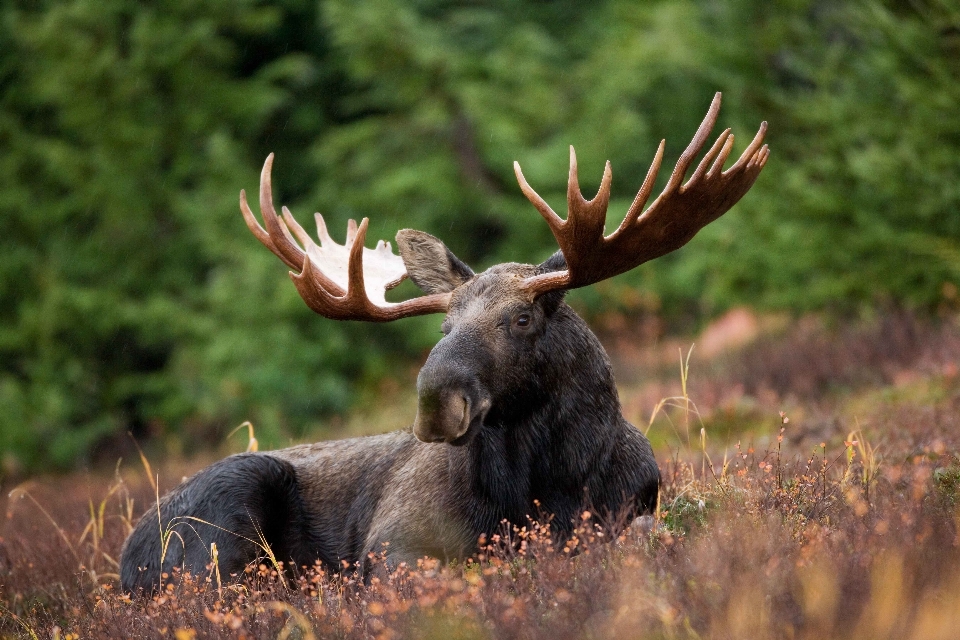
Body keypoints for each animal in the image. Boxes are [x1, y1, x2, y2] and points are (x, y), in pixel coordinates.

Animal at [120, 92, 768, 592]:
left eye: (522, 319)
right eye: (444, 326)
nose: (436, 402)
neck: (550, 484)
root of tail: (126, 559)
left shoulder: (634, 509)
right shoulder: (393, 544)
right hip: (225, 516)